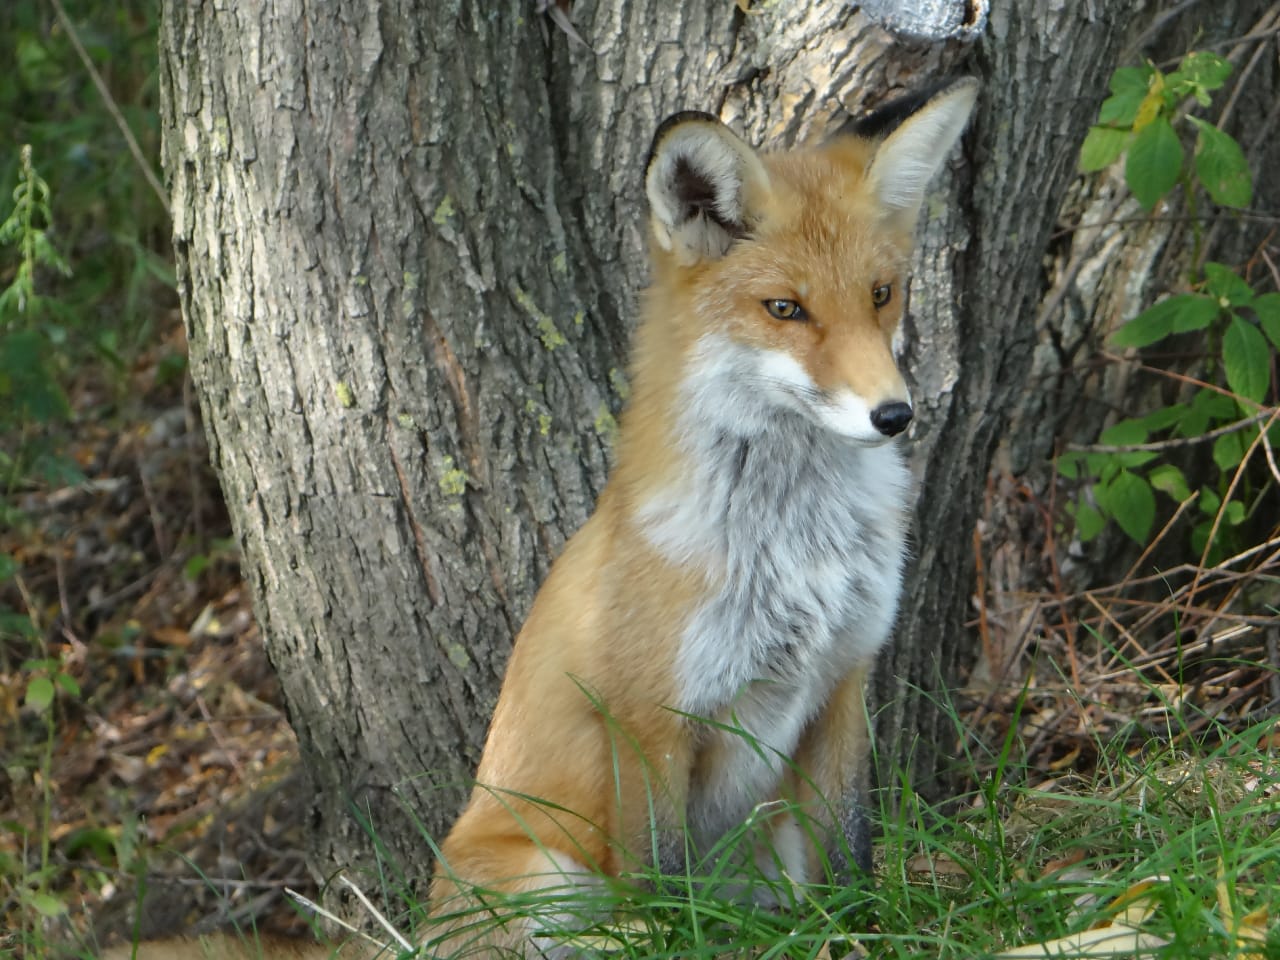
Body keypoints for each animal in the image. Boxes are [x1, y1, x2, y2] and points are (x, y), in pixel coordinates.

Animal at [99, 77, 977, 960]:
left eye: (881, 295)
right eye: (786, 309)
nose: (895, 415)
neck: (794, 544)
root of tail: (414, 931)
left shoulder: (840, 683)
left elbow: (853, 855)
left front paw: (870, 932)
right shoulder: (647, 721)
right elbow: (663, 892)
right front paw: (693, 937)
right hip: (549, 879)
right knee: (612, 928)